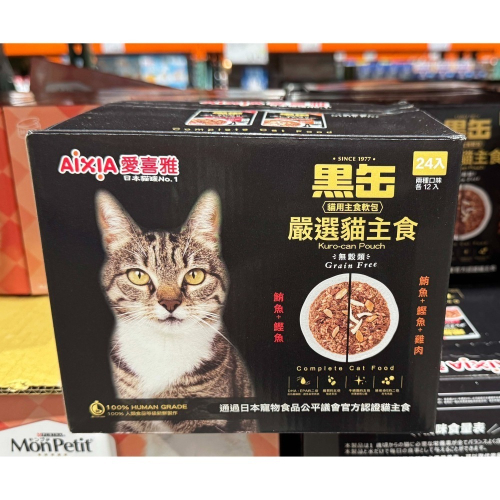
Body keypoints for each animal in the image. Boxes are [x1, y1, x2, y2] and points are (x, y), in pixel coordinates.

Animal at [96, 190, 257, 433]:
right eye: (138, 275)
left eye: (194, 275)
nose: (170, 303)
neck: (164, 347)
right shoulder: (131, 417)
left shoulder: (205, 417)